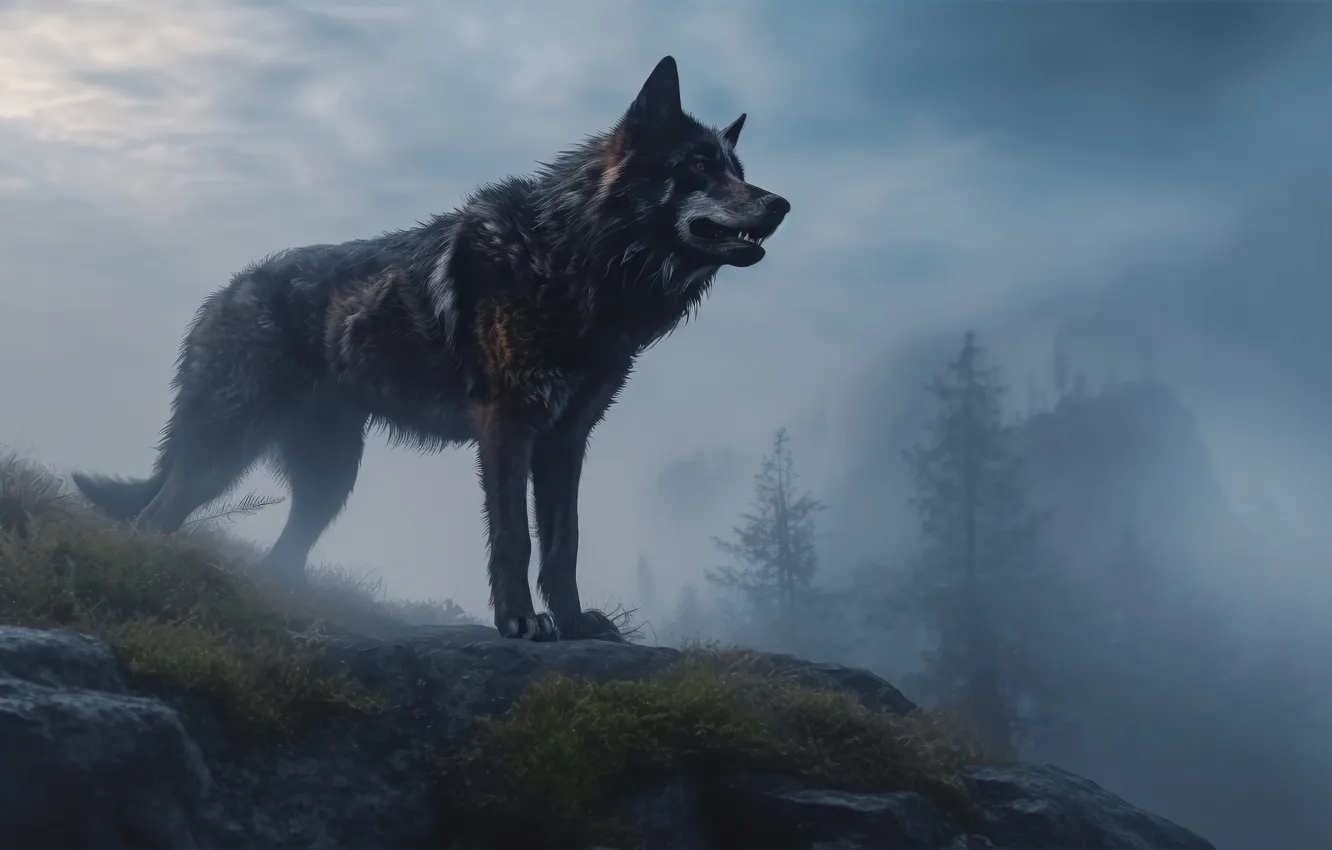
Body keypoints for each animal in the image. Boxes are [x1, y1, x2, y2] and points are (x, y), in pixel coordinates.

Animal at [71, 55, 790, 642]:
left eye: (739, 171)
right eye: (697, 167)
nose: (780, 204)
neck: (575, 258)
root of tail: (224, 292)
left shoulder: (566, 440)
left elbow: (564, 545)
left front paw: (576, 624)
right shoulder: (508, 427)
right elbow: (515, 538)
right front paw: (520, 622)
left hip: (330, 479)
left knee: (279, 557)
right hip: (224, 454)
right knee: (155, 518)